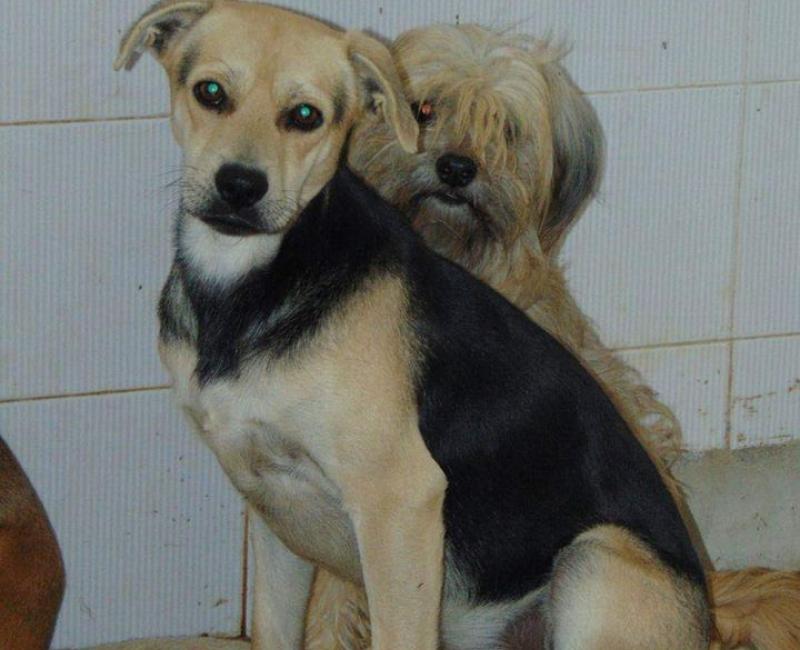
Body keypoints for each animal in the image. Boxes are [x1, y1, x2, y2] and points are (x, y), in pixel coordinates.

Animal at [116, 2, 713, 648]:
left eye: (305, 116)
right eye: (211, 93)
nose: (240, 186)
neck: (255, 281)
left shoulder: (400, 505)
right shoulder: (275, 514)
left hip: (592, 557)